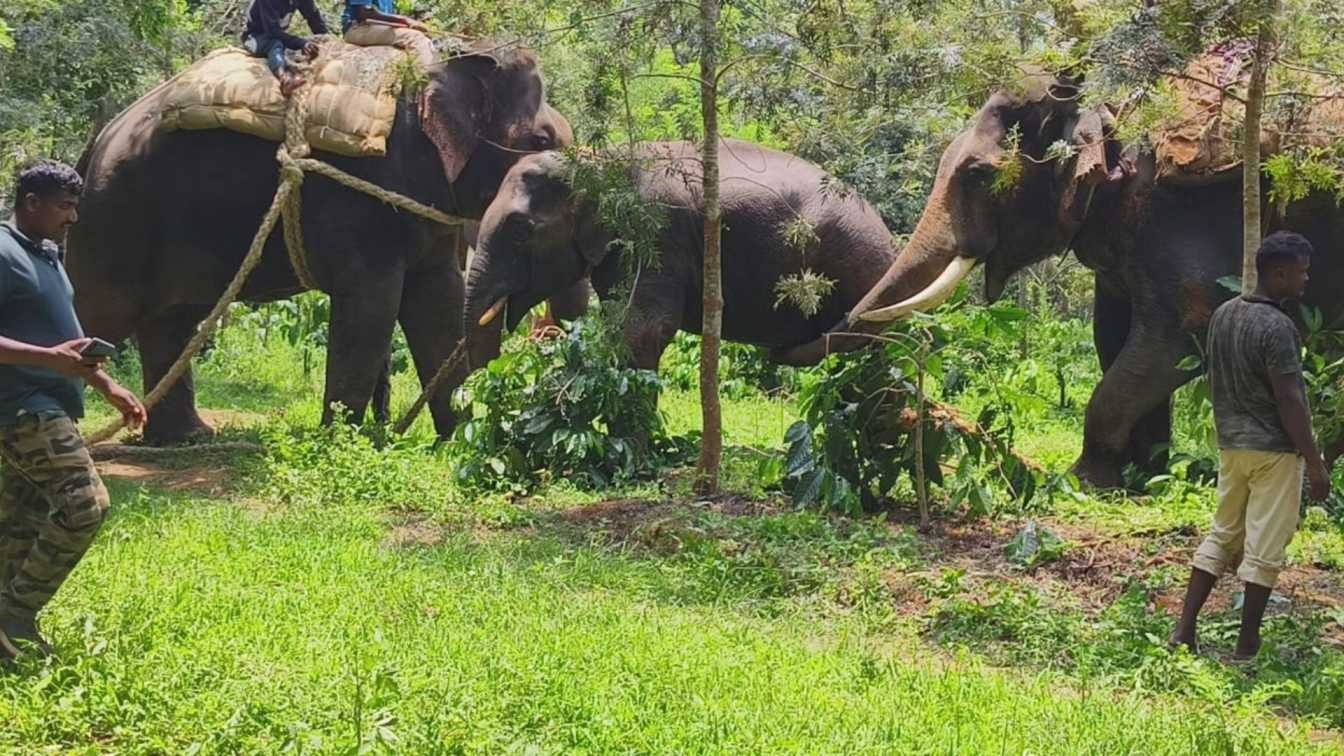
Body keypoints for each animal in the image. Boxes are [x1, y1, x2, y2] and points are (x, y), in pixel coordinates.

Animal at [69, 43, 572, 444]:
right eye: (540, 139)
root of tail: (97, 143)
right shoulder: (367, 195)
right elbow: (372, 304)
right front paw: (342, 442)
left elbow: (437, 300)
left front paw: (459, 441)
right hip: (114, 215)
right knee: (98, 309)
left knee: (171, 319)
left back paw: (186, 439)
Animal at [776, 70, 1344, 488]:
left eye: (977, 175)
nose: (783, 343)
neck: (1104, 110)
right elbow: (1113, 335)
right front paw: (1140, 476)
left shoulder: (1179, 217)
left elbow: (1184, 326)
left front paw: (1081, 479)